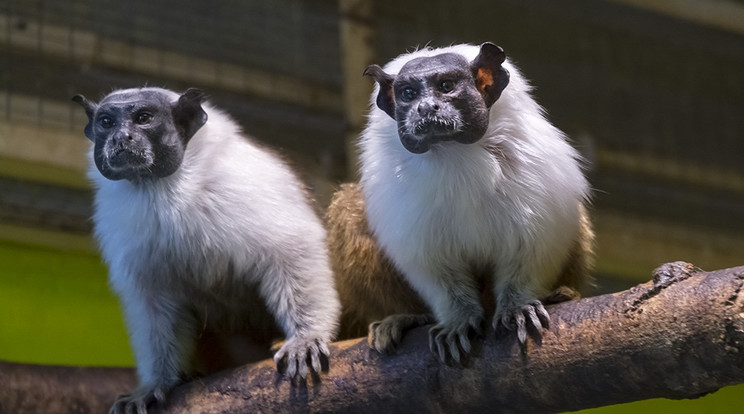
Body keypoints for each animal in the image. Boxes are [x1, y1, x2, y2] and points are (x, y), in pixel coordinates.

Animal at [72, 88, 340, 414]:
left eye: (143, 118)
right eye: (107, 122)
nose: (121, 137)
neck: (163, 189)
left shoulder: (249, 184)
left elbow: (293, 247)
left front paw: (305, 337)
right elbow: (154, 303)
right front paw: (156, 383)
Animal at [328, 40, 596, 360]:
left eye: (446, 86)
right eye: (408, 94)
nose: (425, 107)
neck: (455, 153)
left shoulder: (535, 174)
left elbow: (531, 247)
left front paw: (517, 304)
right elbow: (432, 265)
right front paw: (458, 319)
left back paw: (563, 294)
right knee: (347, 208)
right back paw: (408, 317)